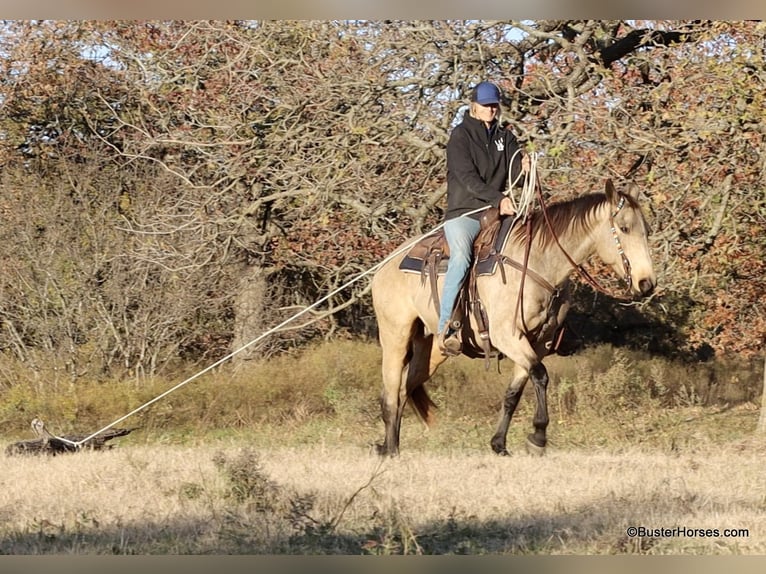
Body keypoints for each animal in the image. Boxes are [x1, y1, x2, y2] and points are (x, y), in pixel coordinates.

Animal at [370, 179, 656, 457]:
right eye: (624, 228)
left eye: (646, 230)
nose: (647, 283)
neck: (538, 264)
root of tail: (385, 265)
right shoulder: (507, 336)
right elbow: (540, 375)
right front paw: (538, 437)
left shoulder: (537, 343)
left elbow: (515, 391)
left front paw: (499, 443)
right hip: (395, 336)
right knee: (391, 391)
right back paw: (391, 449)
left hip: (432, 349)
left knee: (405, 388)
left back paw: (387, 444)